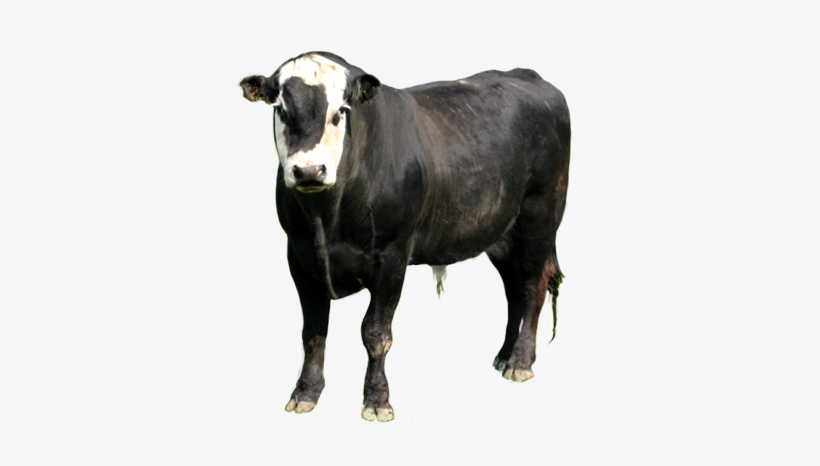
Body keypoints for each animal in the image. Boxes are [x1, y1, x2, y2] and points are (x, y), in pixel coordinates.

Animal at [240, 52, 570, 422]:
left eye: (340, 111)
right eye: (281, 110)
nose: (309, 170)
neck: (326, 220)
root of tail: (530, 76)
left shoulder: (393, 256)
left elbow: (375, 332)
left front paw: (377, 399)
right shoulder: (299, 257)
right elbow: (312, 331)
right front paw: (305, 392)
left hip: (540, 214)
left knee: (531, 284)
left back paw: (520, 361)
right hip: (500, 231)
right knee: (513, 288)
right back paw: (503, 355)